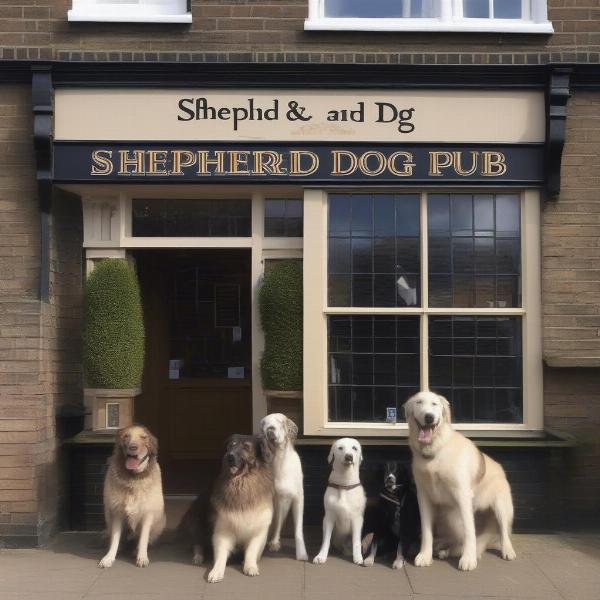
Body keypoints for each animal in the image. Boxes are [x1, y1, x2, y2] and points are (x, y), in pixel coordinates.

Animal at [98, 426, 165, 568]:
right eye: (126, 436)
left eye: (144, 437)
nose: (133, 447)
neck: (133, 478)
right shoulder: (116, 513)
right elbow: (115, 539)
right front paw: (109, 557)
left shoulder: (147, 515)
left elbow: (143, 539)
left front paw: (142, 557)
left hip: (159, 524)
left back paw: (135, 551)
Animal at [260, 414, 310, 560]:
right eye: (264, 423)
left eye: (280, 421)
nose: (270, 429)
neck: (279, 460)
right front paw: (273, 542)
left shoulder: (298, 498)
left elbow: (298, 529)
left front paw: (301, 553)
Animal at [406, 390, 516, 572]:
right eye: (419, 403)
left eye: (435, 404)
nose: (429, 417)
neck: (435, 452)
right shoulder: (423, 496)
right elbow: (427, 531)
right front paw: (425, 555)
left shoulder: (462, 494)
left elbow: (469, 531)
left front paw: (469, 559)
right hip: (449, 517)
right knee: (455, 539)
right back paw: (443, 549)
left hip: (501, 508)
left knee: (502, 534)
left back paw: (506, 551)